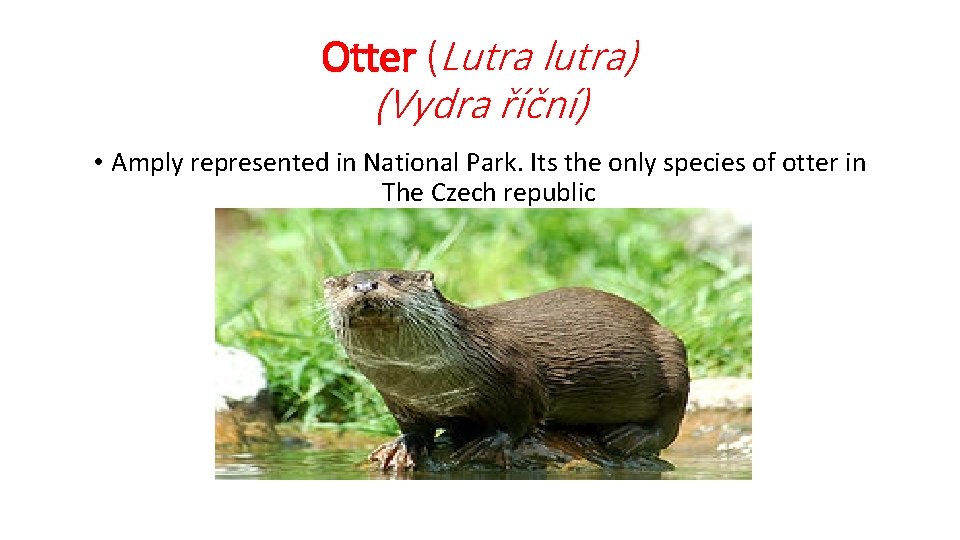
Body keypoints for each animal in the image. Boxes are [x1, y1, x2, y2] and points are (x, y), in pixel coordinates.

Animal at [323, 269, 690, 471]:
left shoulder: (517, 377)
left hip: (672, 354)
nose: (364, 286)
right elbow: (414, 428)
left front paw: (489, 443)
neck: (426, 383)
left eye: (394, 277)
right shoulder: (398, 399)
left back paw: (630, 437)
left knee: (670, 422)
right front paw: (403, 446)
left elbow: (519, 419)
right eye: (343, 282)